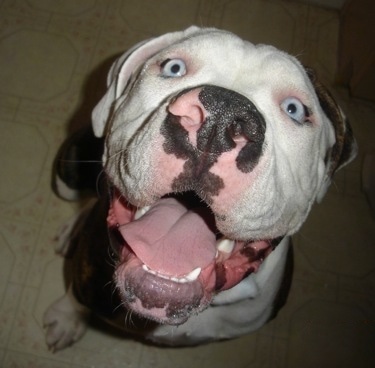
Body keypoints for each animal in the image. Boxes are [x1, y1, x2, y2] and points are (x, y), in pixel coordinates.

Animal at [42, 26, 356, 350]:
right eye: (173, 68)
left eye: (294, 109)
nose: (220, 117)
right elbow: (77, 297)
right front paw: (67, 317)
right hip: (68, 170)